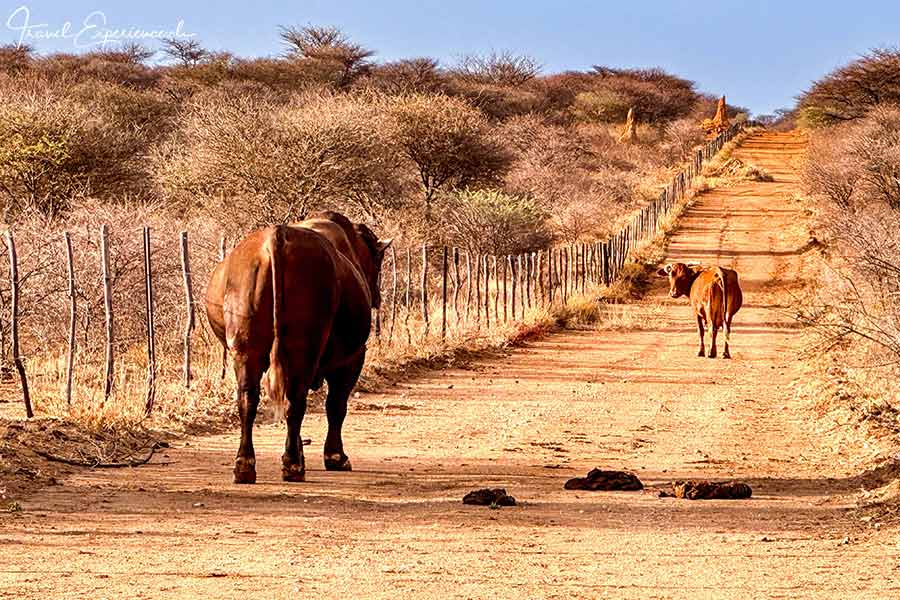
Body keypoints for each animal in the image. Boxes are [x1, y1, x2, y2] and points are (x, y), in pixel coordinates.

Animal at [211, 211, 394, 482]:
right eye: (378, 262)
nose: (378, 297)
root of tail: (276, 238)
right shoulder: (351, 359)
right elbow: (336, 406)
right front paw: (335, 456)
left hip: (246, 352)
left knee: (248, 400)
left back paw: (245, 465)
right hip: (304, 351)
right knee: (296, 401)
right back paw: (293, 464)